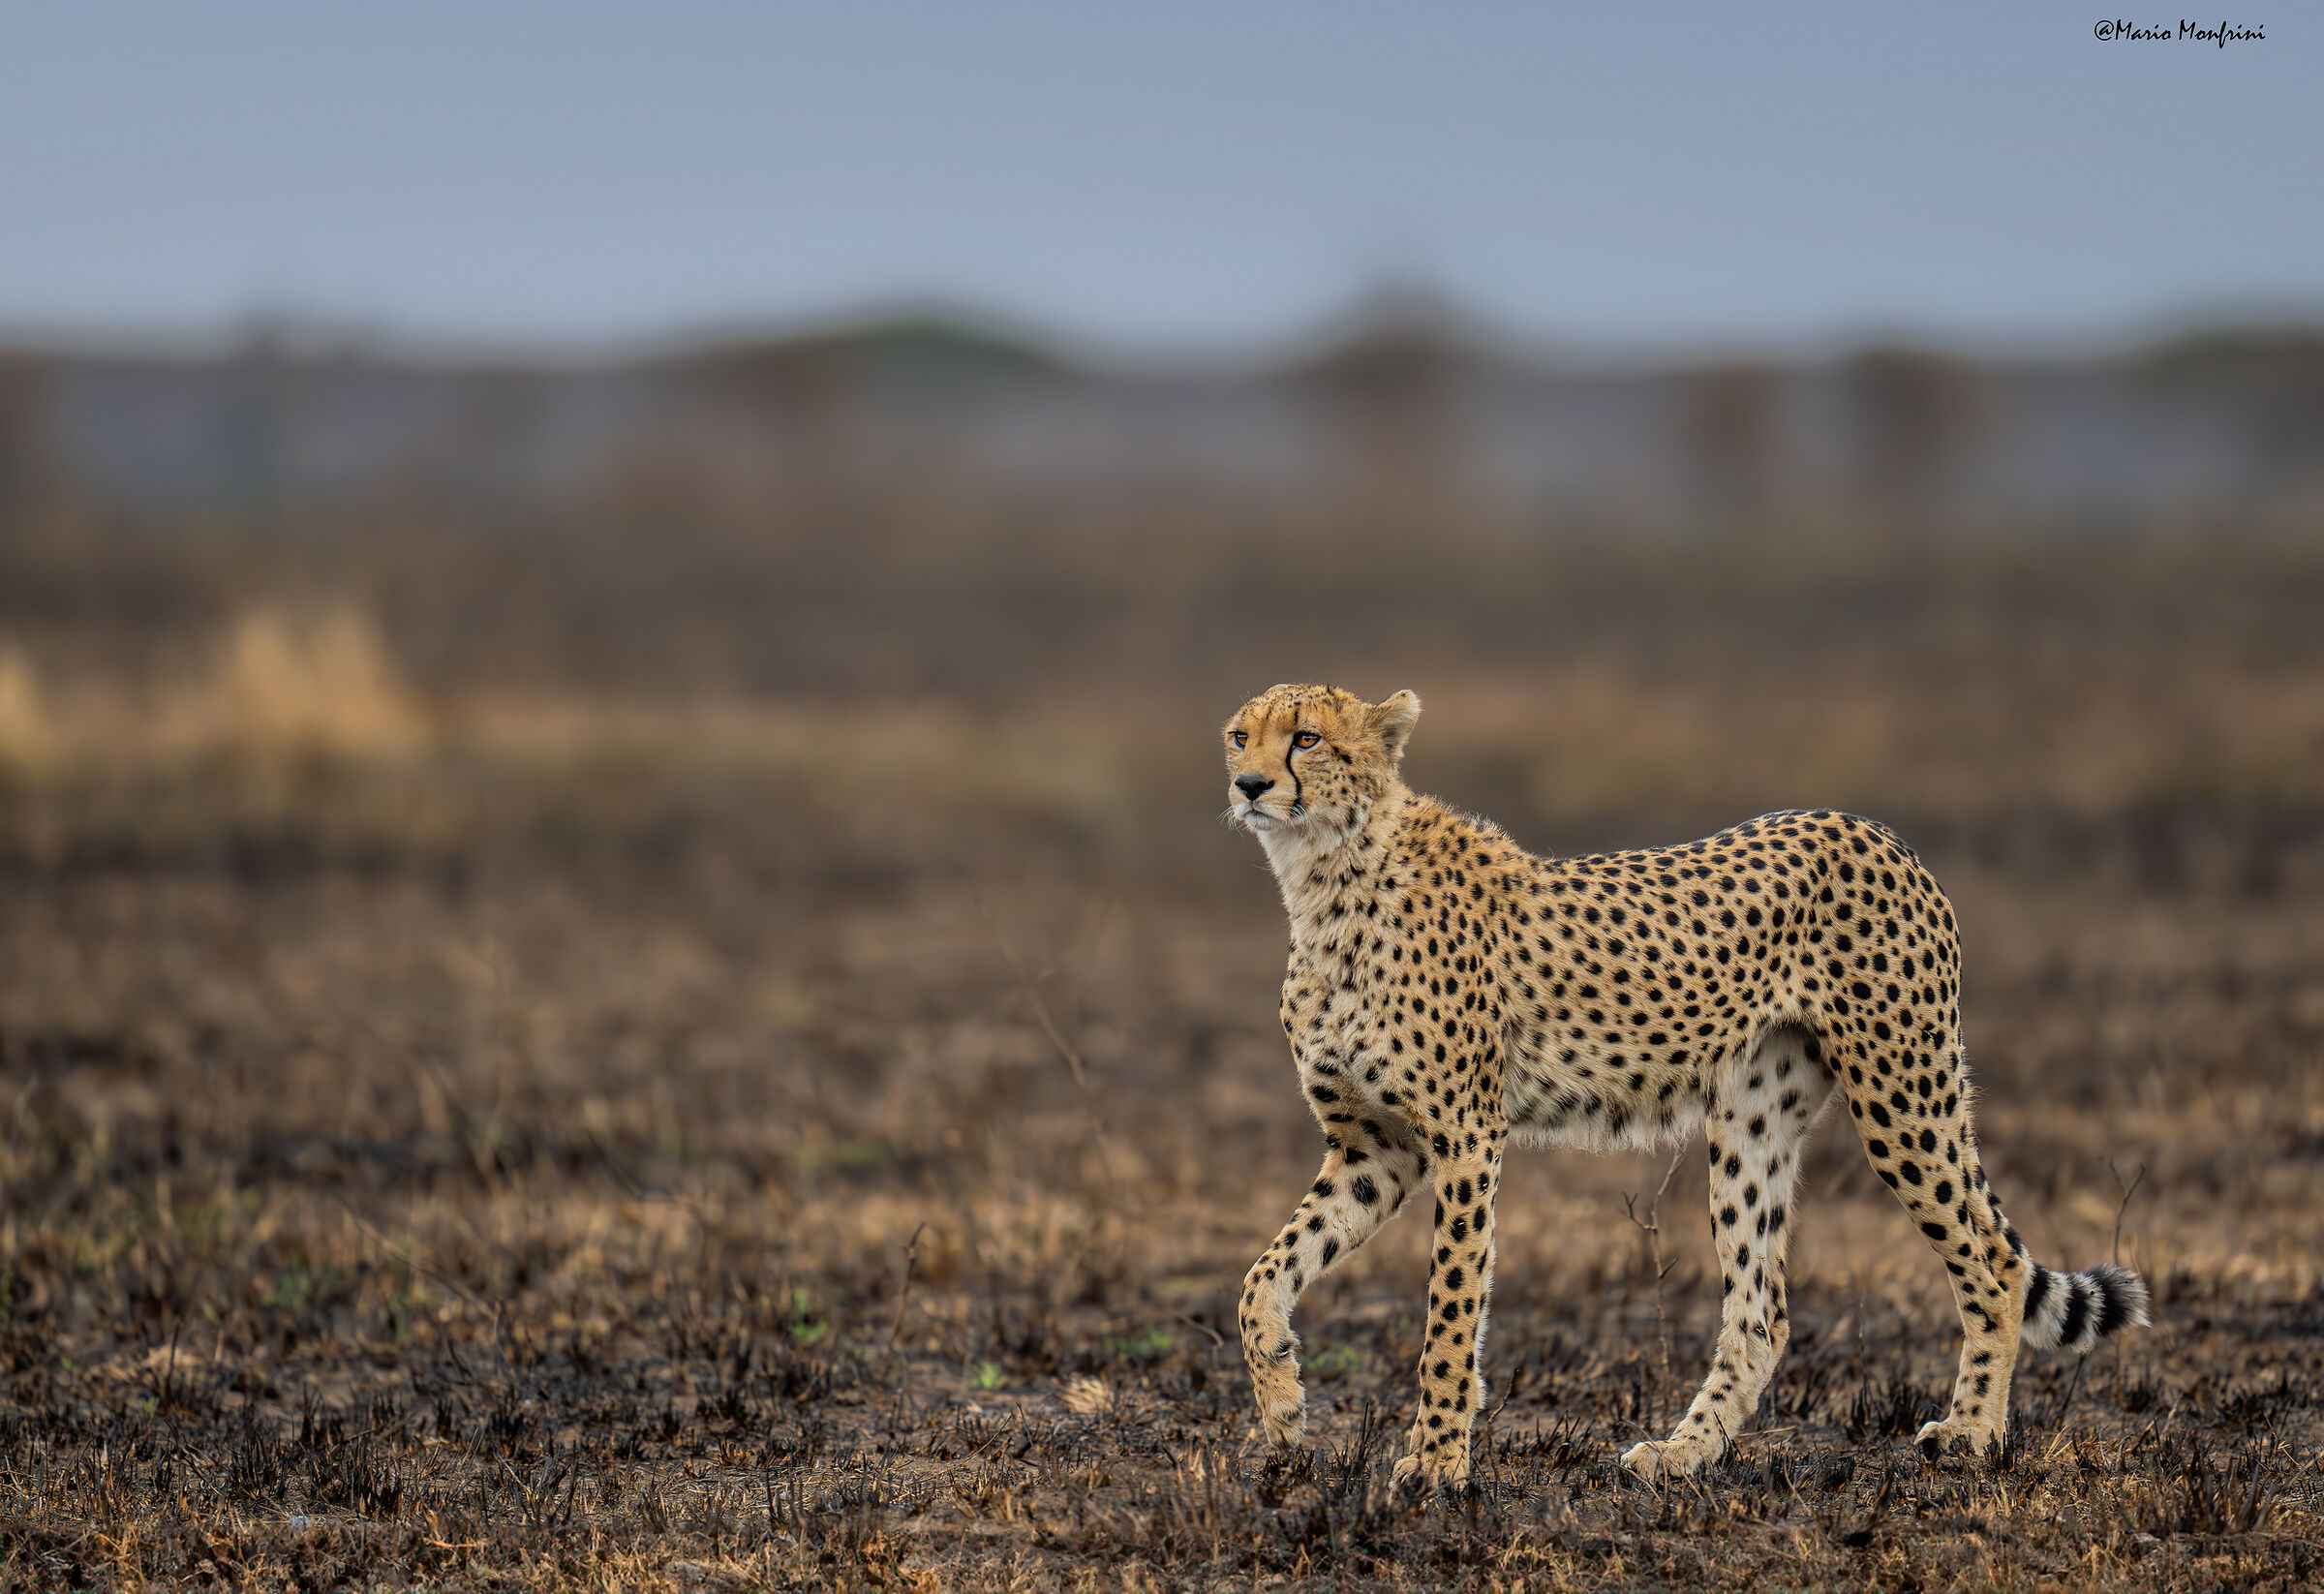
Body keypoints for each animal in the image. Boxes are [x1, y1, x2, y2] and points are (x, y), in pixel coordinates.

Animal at [1223, 682, 2149, 1493]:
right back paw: (1683, 1455)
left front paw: (1439, 1464)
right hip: (1753, 1120)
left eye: (1306, 738)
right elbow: (1264, 1273)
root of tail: (1873, 828)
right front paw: (1282, 1409)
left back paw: (1974, 1436)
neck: (1326, 882)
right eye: (1240, 735)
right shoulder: (1376, 1150)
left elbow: (1449, 1314)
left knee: (1990, 1266)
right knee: (1764, 1312)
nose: (1249, 785)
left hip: (1902, 1094)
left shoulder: (1463, 1143)